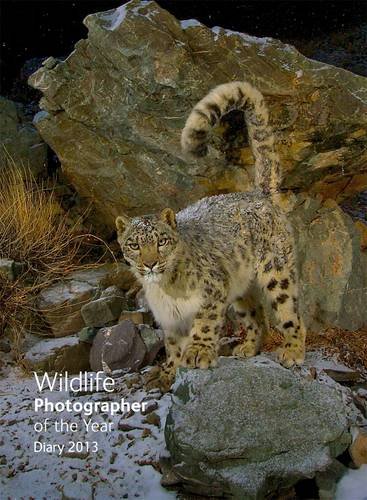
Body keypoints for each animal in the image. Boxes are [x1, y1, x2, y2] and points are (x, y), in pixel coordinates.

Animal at [116, 80, 306, 390]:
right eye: (134, 244)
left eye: (161, 241)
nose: (150, 263)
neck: (165, 289)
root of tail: (258, 195)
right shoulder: (170, 320)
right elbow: (172, 348)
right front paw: (167, 374)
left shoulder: (213, 290)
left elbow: (204, 323)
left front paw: (198, 353)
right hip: (240, 289)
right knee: (257, 315)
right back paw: (247, 347)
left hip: (276, 272)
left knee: (290, 311)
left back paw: (292, 351)